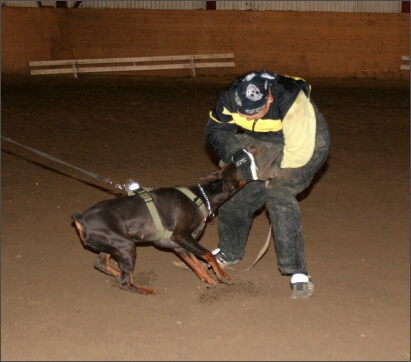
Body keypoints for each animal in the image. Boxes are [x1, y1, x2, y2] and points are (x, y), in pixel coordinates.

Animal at [72, 163, 246, 296]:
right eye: (237, 169)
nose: (234, 160)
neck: (202, 196)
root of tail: (80, 217)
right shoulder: (181, 235)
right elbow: (209, 254)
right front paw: (223, 276)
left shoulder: (179, 246)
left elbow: (197, 266)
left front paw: (212, 283)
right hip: (126, 246)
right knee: (125, 283)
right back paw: (145, 290)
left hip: (113, 244)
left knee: (102, 264)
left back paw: (118, 274)